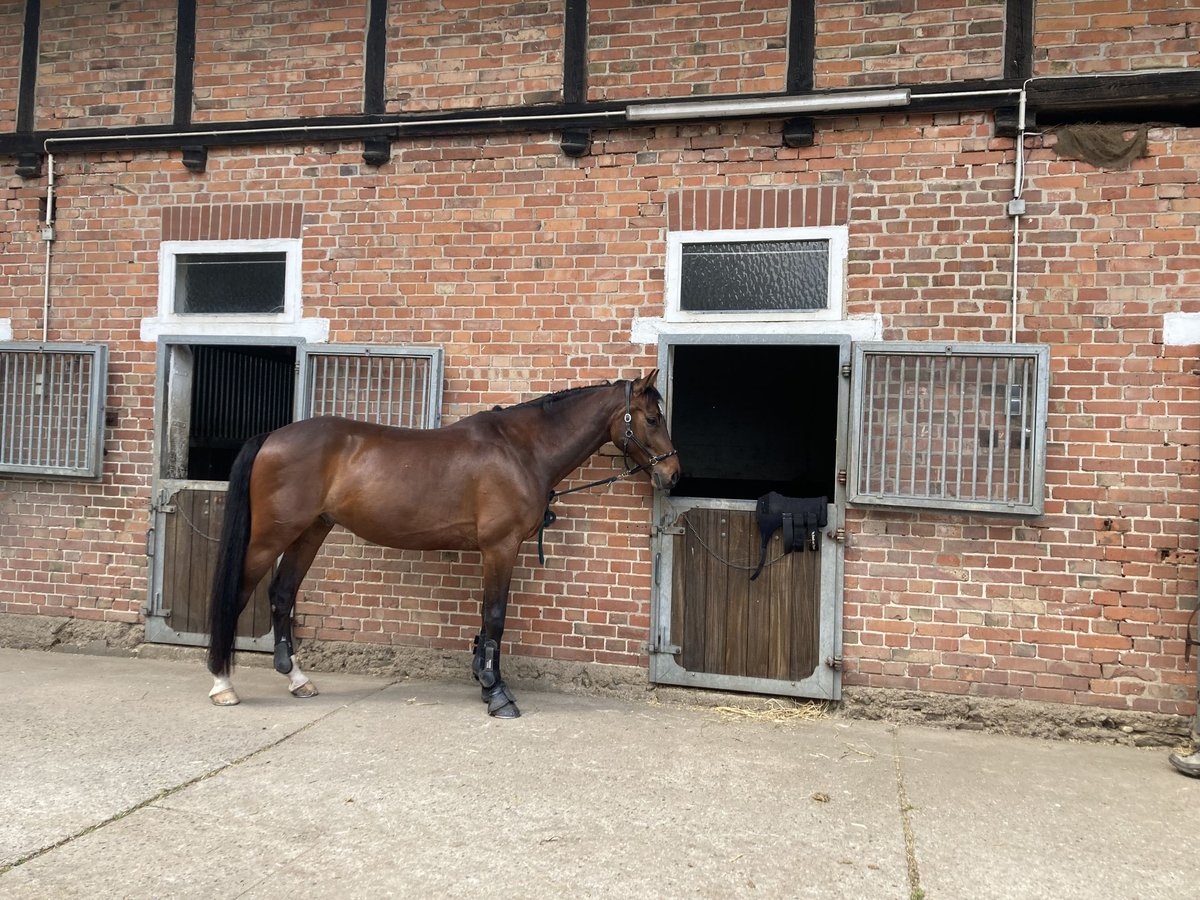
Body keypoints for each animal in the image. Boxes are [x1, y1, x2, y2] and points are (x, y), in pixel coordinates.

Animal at [210, 372, 681, 720]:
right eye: (652, 419)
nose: (673, 474)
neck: (521, 450)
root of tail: (272, 437)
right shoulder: (500, 547)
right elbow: (495, 618)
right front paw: (498, 694)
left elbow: (486, 620)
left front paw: (484, 680)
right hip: (269, 537)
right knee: (238, 596)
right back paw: (222, 684)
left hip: (311, 531)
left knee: (282, 594)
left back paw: (297, 680)